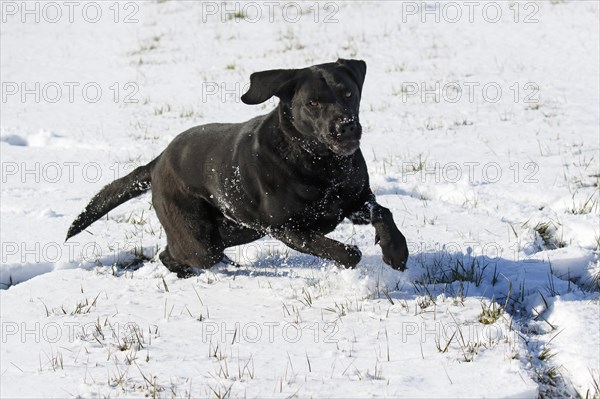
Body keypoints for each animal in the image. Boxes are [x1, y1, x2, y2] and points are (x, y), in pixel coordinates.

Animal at [68, 59, 410, 278]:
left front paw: (396, 252)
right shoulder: (288, 228)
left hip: (237, 228)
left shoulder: (353, 201)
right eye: (312, 103)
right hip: (203, 238)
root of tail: (157, 161)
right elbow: (347, 252)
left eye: (348, 93)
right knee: (179, 253)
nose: (346, 127)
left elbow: (384, 212)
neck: (319, 164)